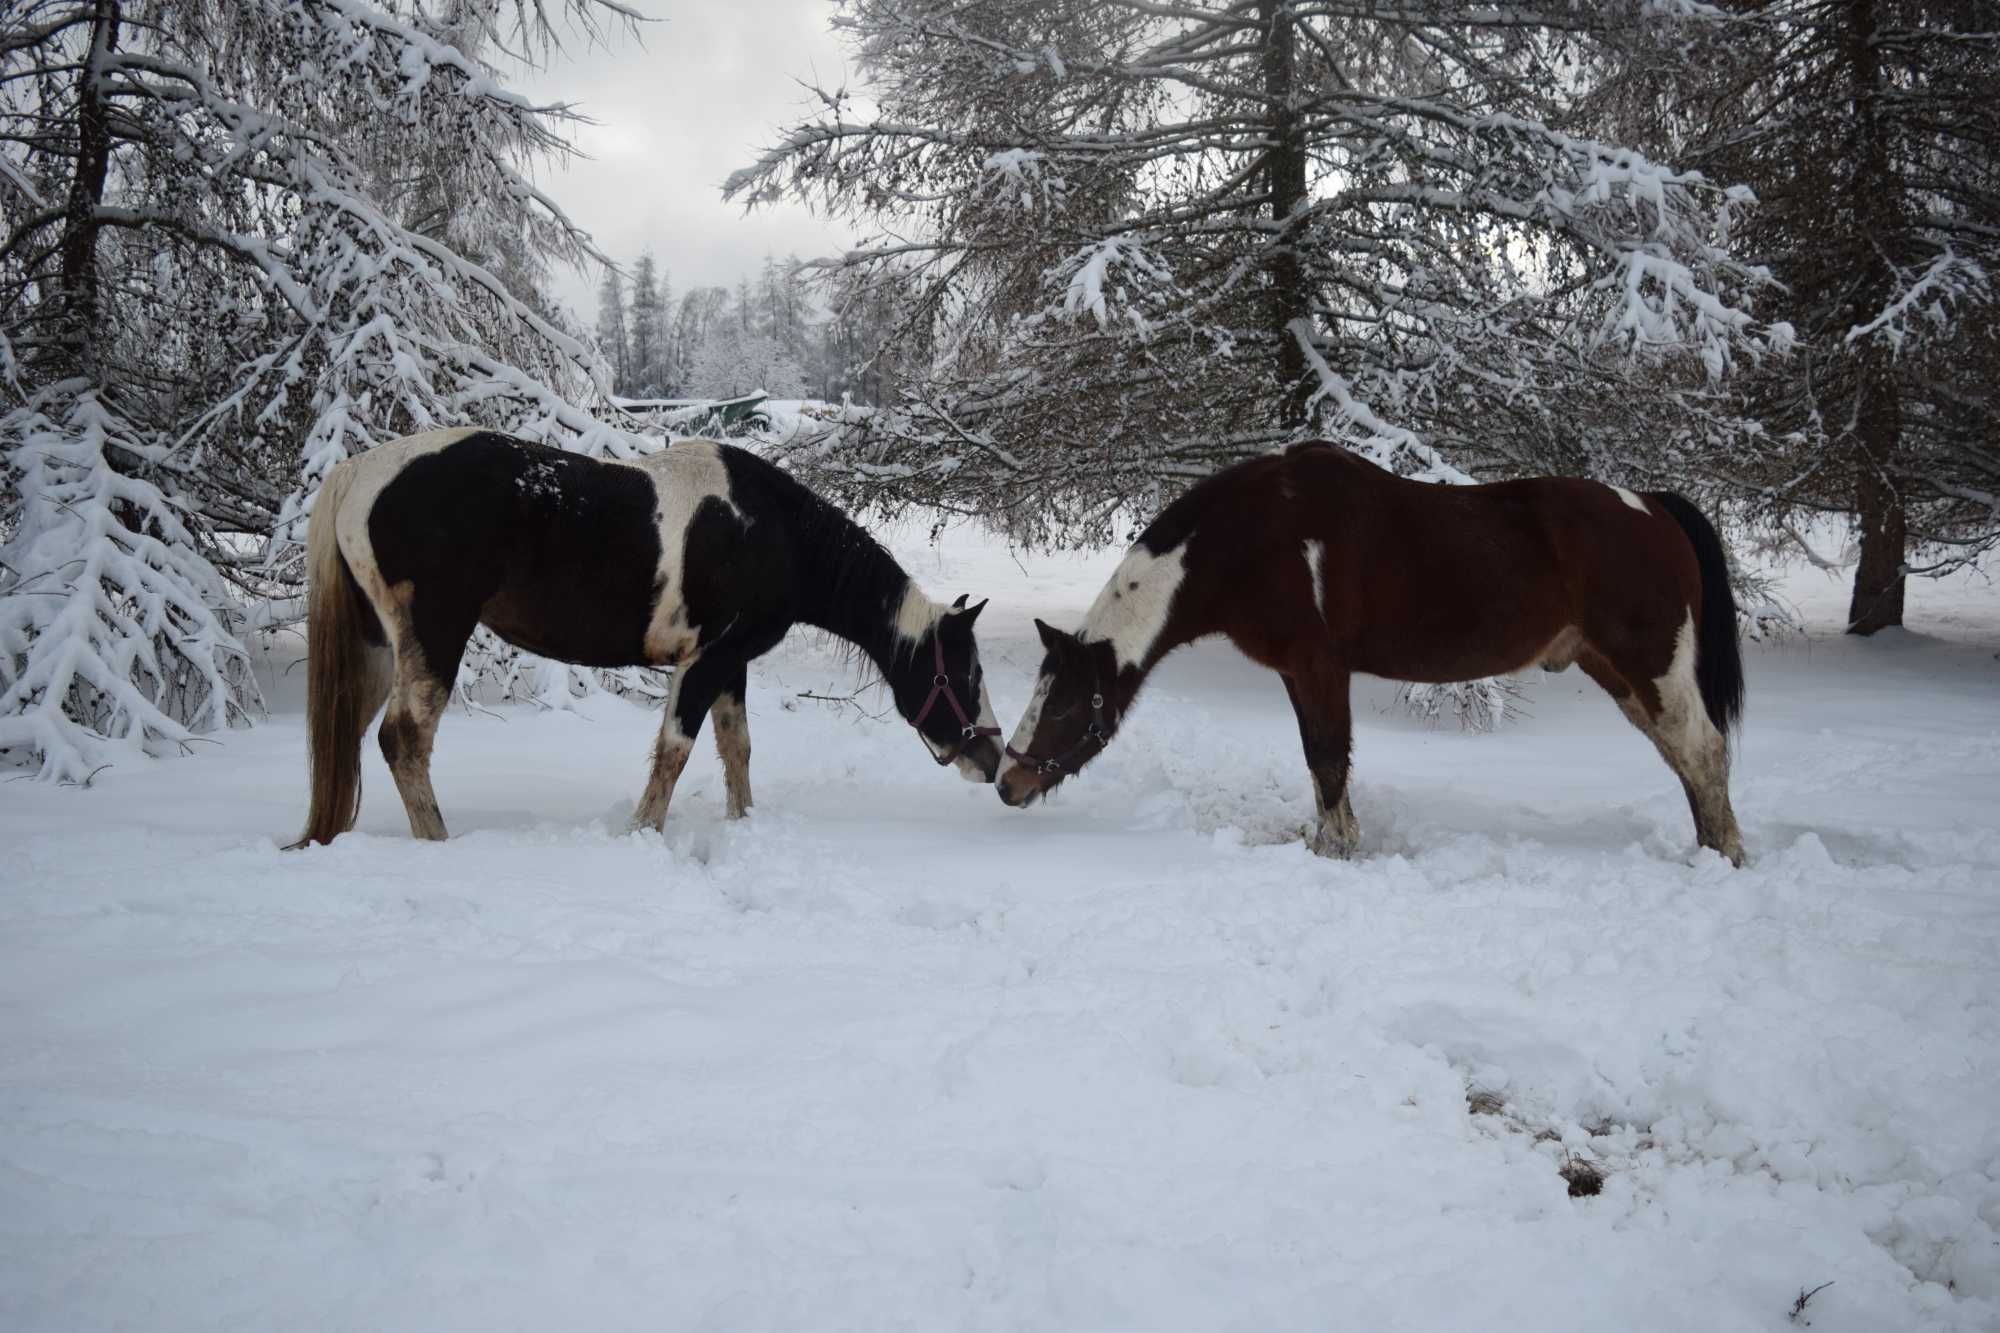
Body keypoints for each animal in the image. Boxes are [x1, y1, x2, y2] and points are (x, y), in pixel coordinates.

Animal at [290, 426, 1008, 840]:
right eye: (964, 673)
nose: (993, 760)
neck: (772, 531)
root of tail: (357, 473)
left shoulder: (729, 664)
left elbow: (736, 748)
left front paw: (742, 824)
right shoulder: (704, 662)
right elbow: (674, 751)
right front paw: (643, 833)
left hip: (380, 647)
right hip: (437, 638)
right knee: (404, 739)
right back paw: (439, 841)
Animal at [1000, 440, 1752, 868]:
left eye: (1063, 704)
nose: (1009, 784)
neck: (1253, 540)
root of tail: (1651, 506)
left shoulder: (1320, 667)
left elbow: (1329, 758)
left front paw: (1336, 850)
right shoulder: (1298, 674)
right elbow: (1319, 760)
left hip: (1651, 663)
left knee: (1702, 750)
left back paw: (1728, 858)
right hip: (1616, 670)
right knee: (1682, 754)